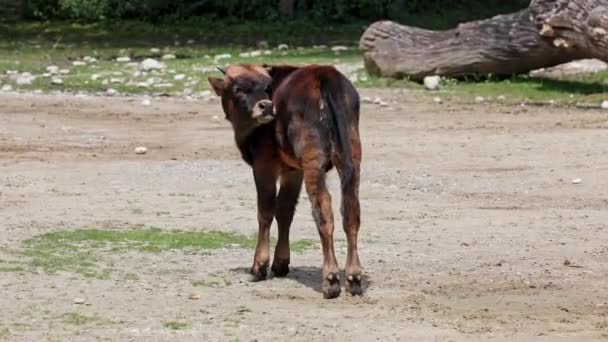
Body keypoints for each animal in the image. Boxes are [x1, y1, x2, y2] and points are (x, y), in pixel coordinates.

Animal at [209, 64, 360, 300]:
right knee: (351, 212)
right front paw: (280, 263)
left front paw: (259, 266)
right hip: (351, 156)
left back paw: (331, 280)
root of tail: (324, 74)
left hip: (313, 161)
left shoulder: (264, 166)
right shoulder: (293, 171)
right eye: (238, 89)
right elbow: (285, 211)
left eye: (267, 87)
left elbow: (266, 212)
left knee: (324, 212)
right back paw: (354, 278)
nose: (266, 106)